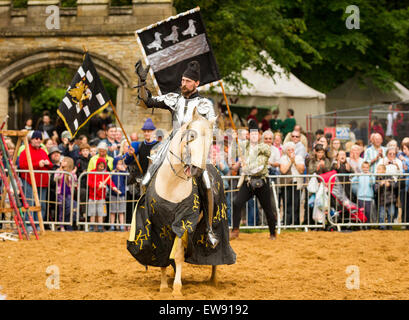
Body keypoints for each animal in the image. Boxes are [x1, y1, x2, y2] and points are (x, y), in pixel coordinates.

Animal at [127, 109, 236, 296]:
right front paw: (164, 285)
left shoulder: (183, 222)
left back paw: (213, 280)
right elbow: (162, 252)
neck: (171, 184)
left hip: (218, 220)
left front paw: (177, 288)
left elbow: (177, 254)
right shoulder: (159, 224)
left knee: (217, 252)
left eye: (211, 140)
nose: (196, 168)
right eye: (191, 135)